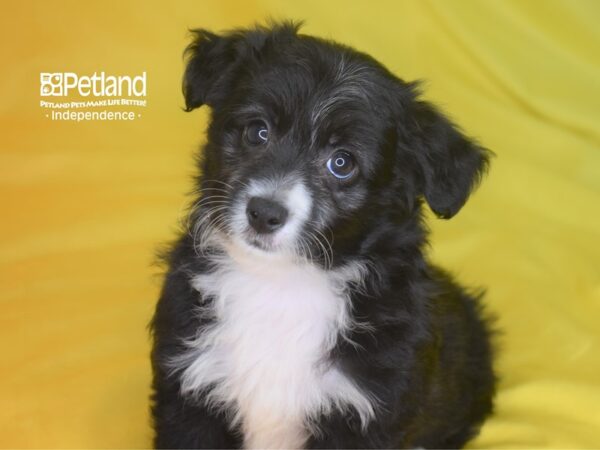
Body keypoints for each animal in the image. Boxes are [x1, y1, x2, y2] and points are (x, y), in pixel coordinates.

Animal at [150, 22, 496, 450]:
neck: (282, 283)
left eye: (342, 163)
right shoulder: (190, 387)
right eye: (257, 132)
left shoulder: (364, 411)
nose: (264, 213)